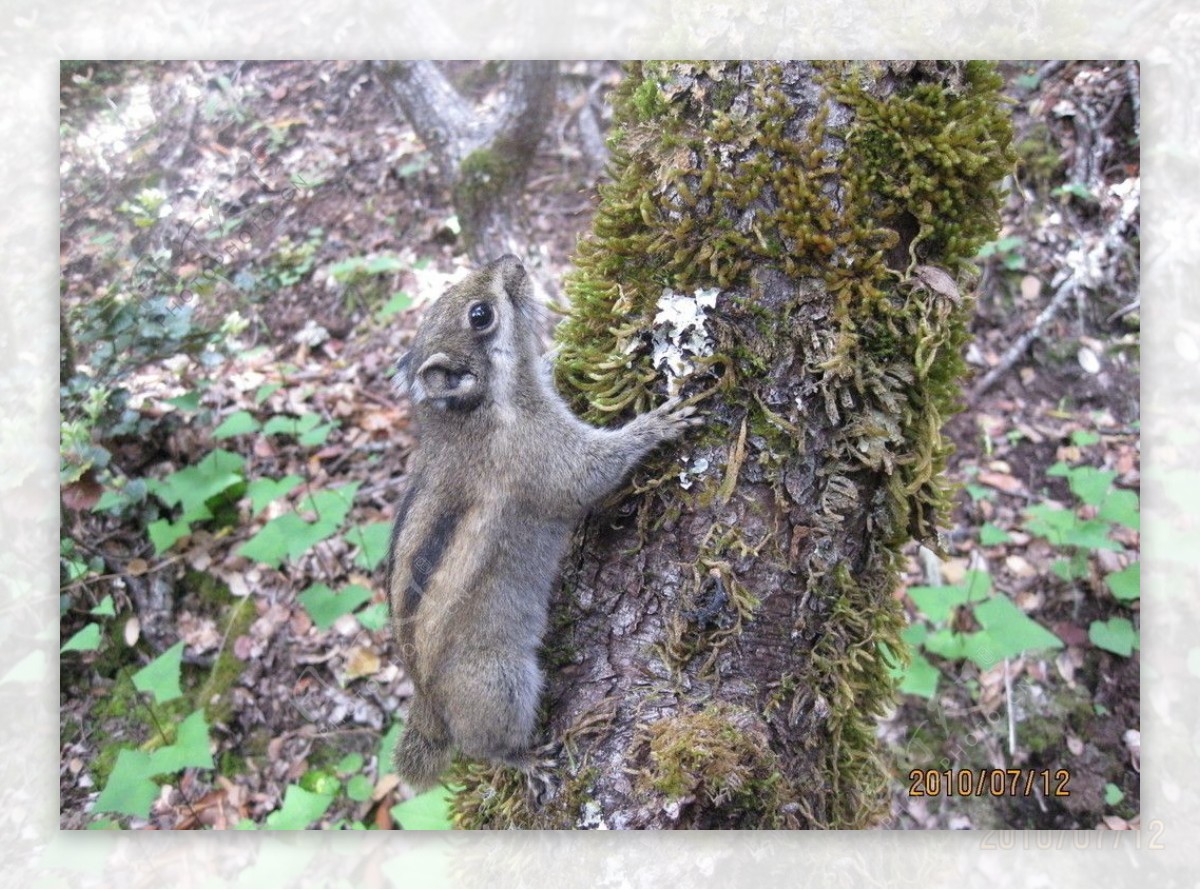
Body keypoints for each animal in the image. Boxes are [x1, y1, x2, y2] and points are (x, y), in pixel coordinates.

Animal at [384, 254, 700, 791]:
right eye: (480, 315)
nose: (510, 261)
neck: (475, 414)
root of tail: (428, 702)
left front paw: (563, 353)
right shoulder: (543, 456)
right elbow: (590, 474)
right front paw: (655, 425)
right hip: (499, 683)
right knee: (484, 746)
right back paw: (526, 759)